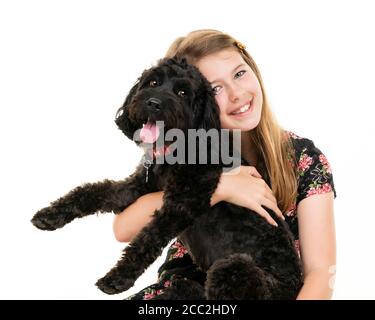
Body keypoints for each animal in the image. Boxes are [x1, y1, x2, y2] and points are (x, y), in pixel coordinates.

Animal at [30, 58, 304, 300]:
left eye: (182, 92)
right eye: (152, 82)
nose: (153, 103)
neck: (176, 150)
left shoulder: (182, 204)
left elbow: (147, 238)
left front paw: (117, 278)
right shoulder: (137, 187)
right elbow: (95, 191)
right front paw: (50, 215)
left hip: (236, 268)